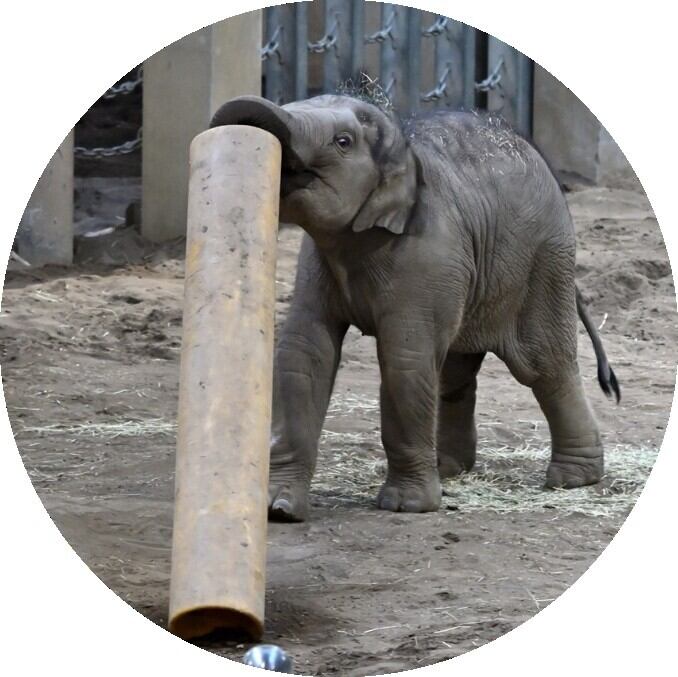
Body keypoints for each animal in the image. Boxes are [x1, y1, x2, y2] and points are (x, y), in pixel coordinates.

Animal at [210, 92, 620, 522]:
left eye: (343, 141)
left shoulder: (427, 252)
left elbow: (403, 358)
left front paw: (406, 506)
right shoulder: (317, 262)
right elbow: (304, 353)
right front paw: (278, 510)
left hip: (544, 261)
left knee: (543, 364)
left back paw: (573, 479)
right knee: (456, 371)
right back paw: (449, 468)